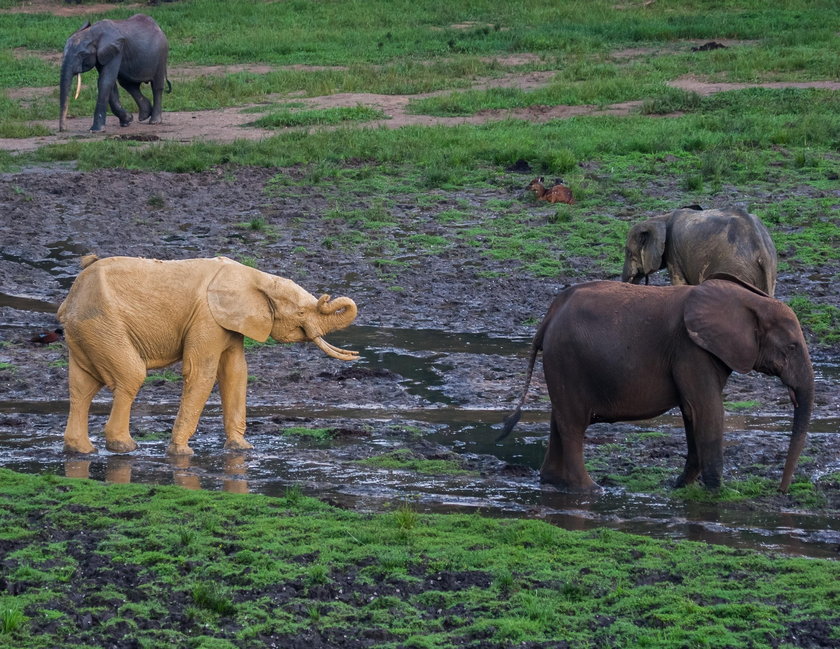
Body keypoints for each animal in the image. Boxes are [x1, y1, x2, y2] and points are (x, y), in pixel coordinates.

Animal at [57, 254, 360, 456]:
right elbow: (201, 372)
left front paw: (242, 449)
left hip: (87, 332)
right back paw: (124, 447)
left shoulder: (229, 321)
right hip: (102, 324)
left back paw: (81, 450)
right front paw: (181, 453)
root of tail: (70, 298)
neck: (256, 277)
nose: (327, 296)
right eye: (300, 312)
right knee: (131, 376)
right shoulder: (206, 318)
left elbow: (235, 372)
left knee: (81, 388)